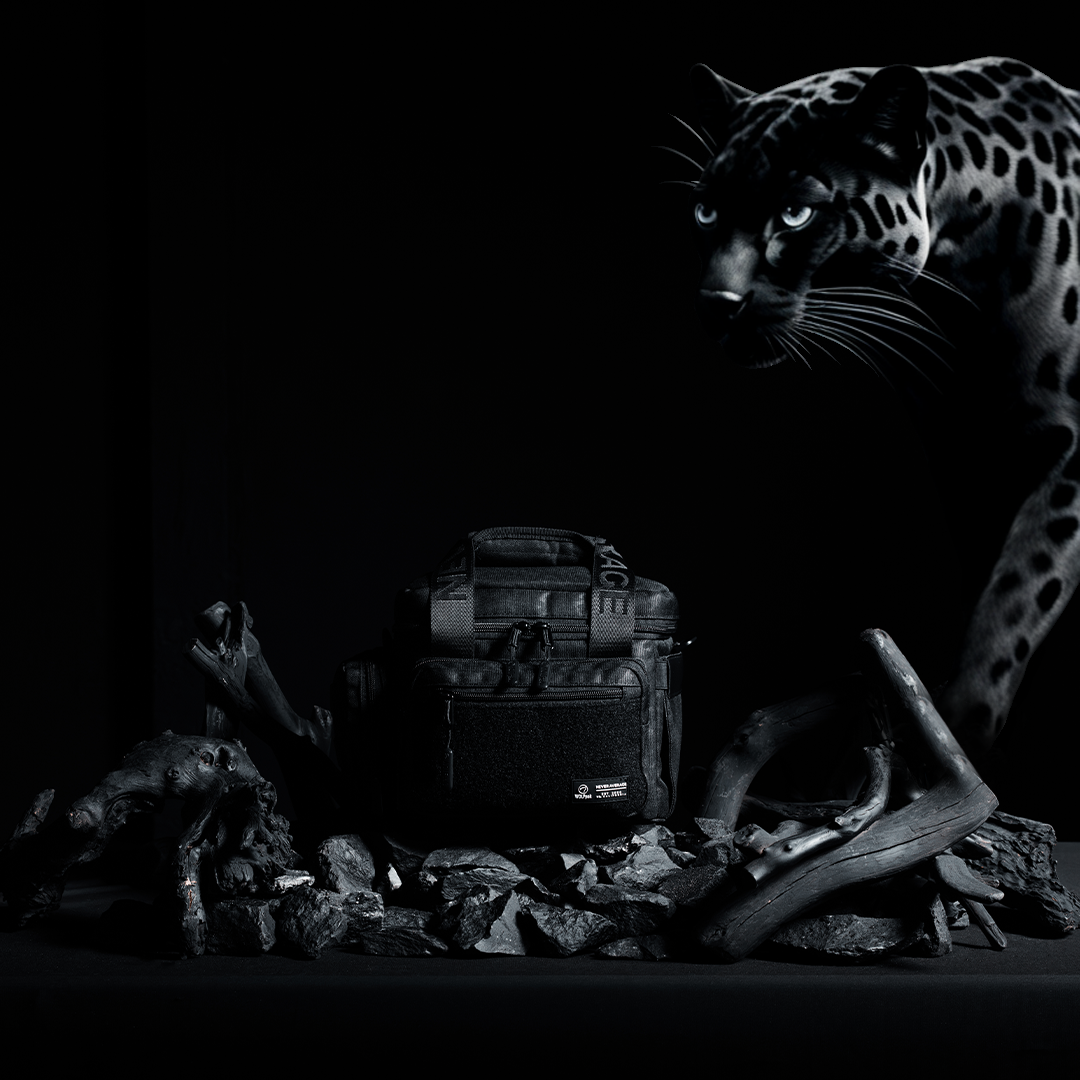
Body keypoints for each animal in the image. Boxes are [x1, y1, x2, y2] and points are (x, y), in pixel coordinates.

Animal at [669, 57, 1079, 760]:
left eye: (796, 214)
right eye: (705, 210)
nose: (716, 303)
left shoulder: (1067, 451)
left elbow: (1018, 590)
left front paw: (957, 731)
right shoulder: (965, 459)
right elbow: (990, 581)